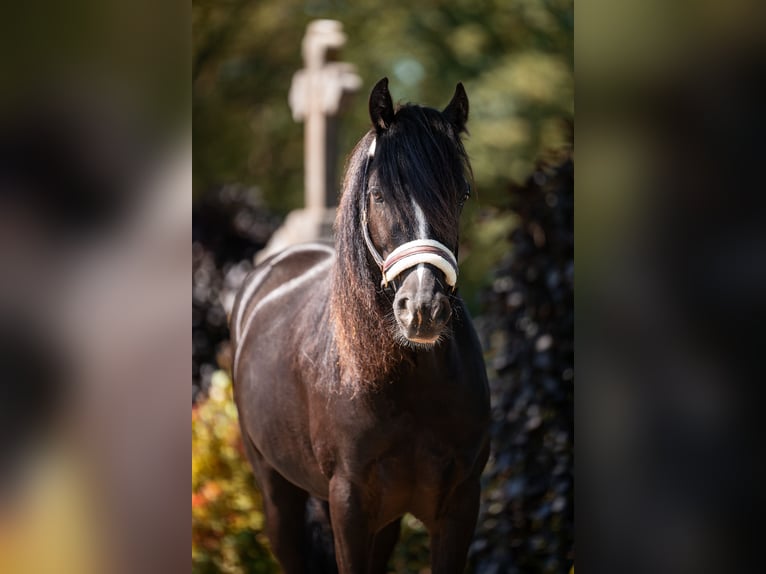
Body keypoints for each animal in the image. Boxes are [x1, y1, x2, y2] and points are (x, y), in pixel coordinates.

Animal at [230, 77, 490, 574]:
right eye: (378, 195)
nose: (422, 308)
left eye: (462, 194)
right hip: (276, 492)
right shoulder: (348, 503)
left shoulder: (460, 505)